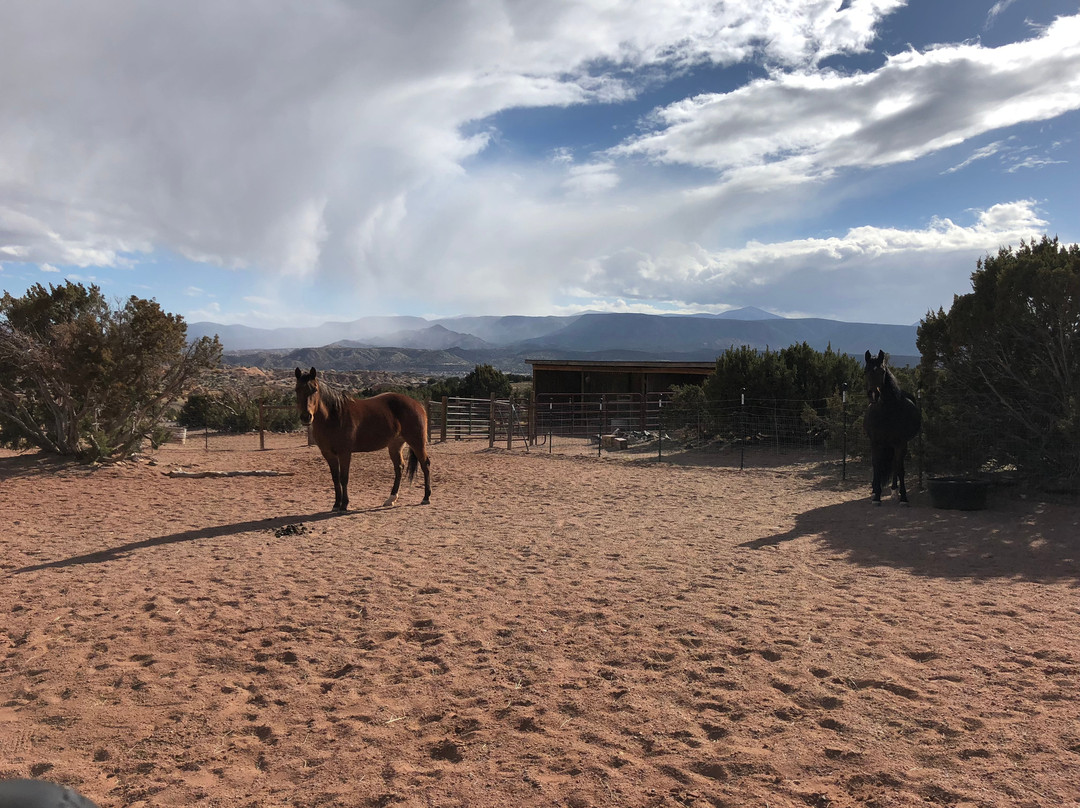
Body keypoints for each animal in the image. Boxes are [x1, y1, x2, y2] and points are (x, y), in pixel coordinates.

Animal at [295, 367, 431, 511]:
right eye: (297, 389)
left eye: (314, 389)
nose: (306, 417)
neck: (334, 416)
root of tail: (417, 404)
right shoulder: (329, 454)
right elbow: (335, 478)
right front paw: (336, 504)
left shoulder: (344, 453)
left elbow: (344, 478)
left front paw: (344, 504)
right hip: (395, 445)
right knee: (399, 467)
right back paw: (391, 499)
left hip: (417, 442)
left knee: (425, 464)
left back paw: (426, 498)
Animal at [863, 350, 921, 505]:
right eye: (866, 371)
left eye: (882, 371)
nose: (873, 395)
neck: (886, 413)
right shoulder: (875, 443)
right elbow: (876, 466)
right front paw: (876, 496)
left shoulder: (900, 443)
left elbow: (900, 468)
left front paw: (903, 497)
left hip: (898, 446)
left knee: (895, 464)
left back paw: (895, 490)